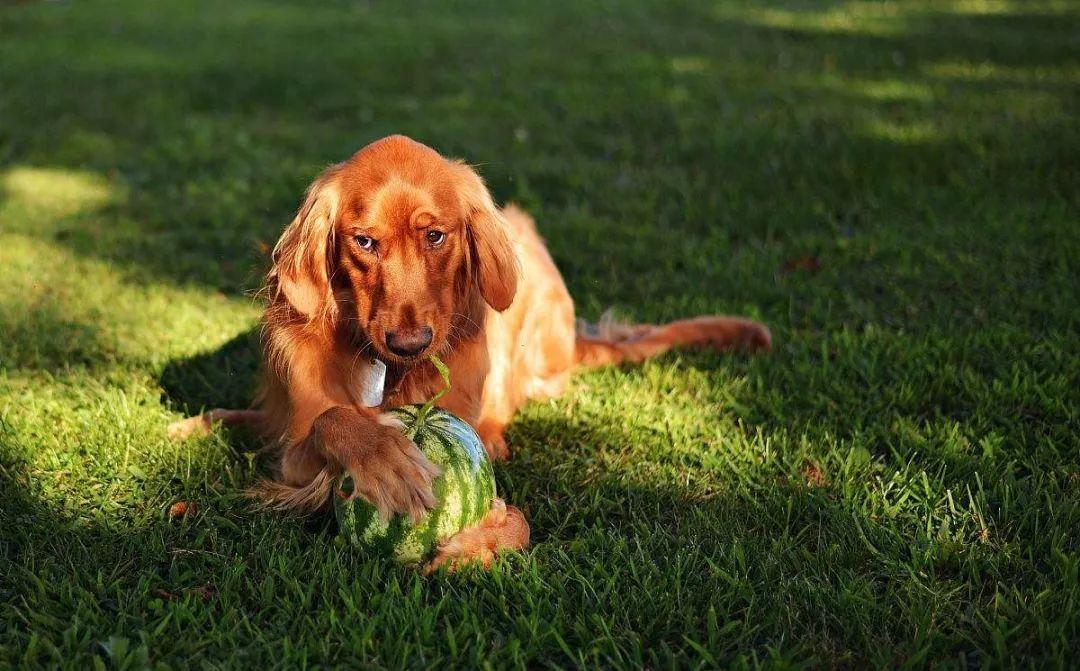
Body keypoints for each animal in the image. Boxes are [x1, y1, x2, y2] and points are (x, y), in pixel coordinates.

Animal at [170, 136, 768, 570]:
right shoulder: (294, 448)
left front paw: (474, 544)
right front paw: (384, 457)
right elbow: (330, 419)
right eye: (364, 242)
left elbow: (513, 516)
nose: (410, 343)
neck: (392, 374)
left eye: (435, 237)